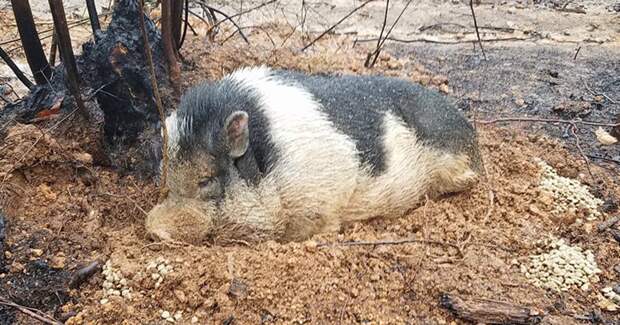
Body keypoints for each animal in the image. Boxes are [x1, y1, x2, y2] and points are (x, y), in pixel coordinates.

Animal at [147, 66, 484, 243]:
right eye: (167, 180)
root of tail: (470, 132)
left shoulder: (320, 195)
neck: (266, 164)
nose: (153, 229)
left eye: (205, 180)